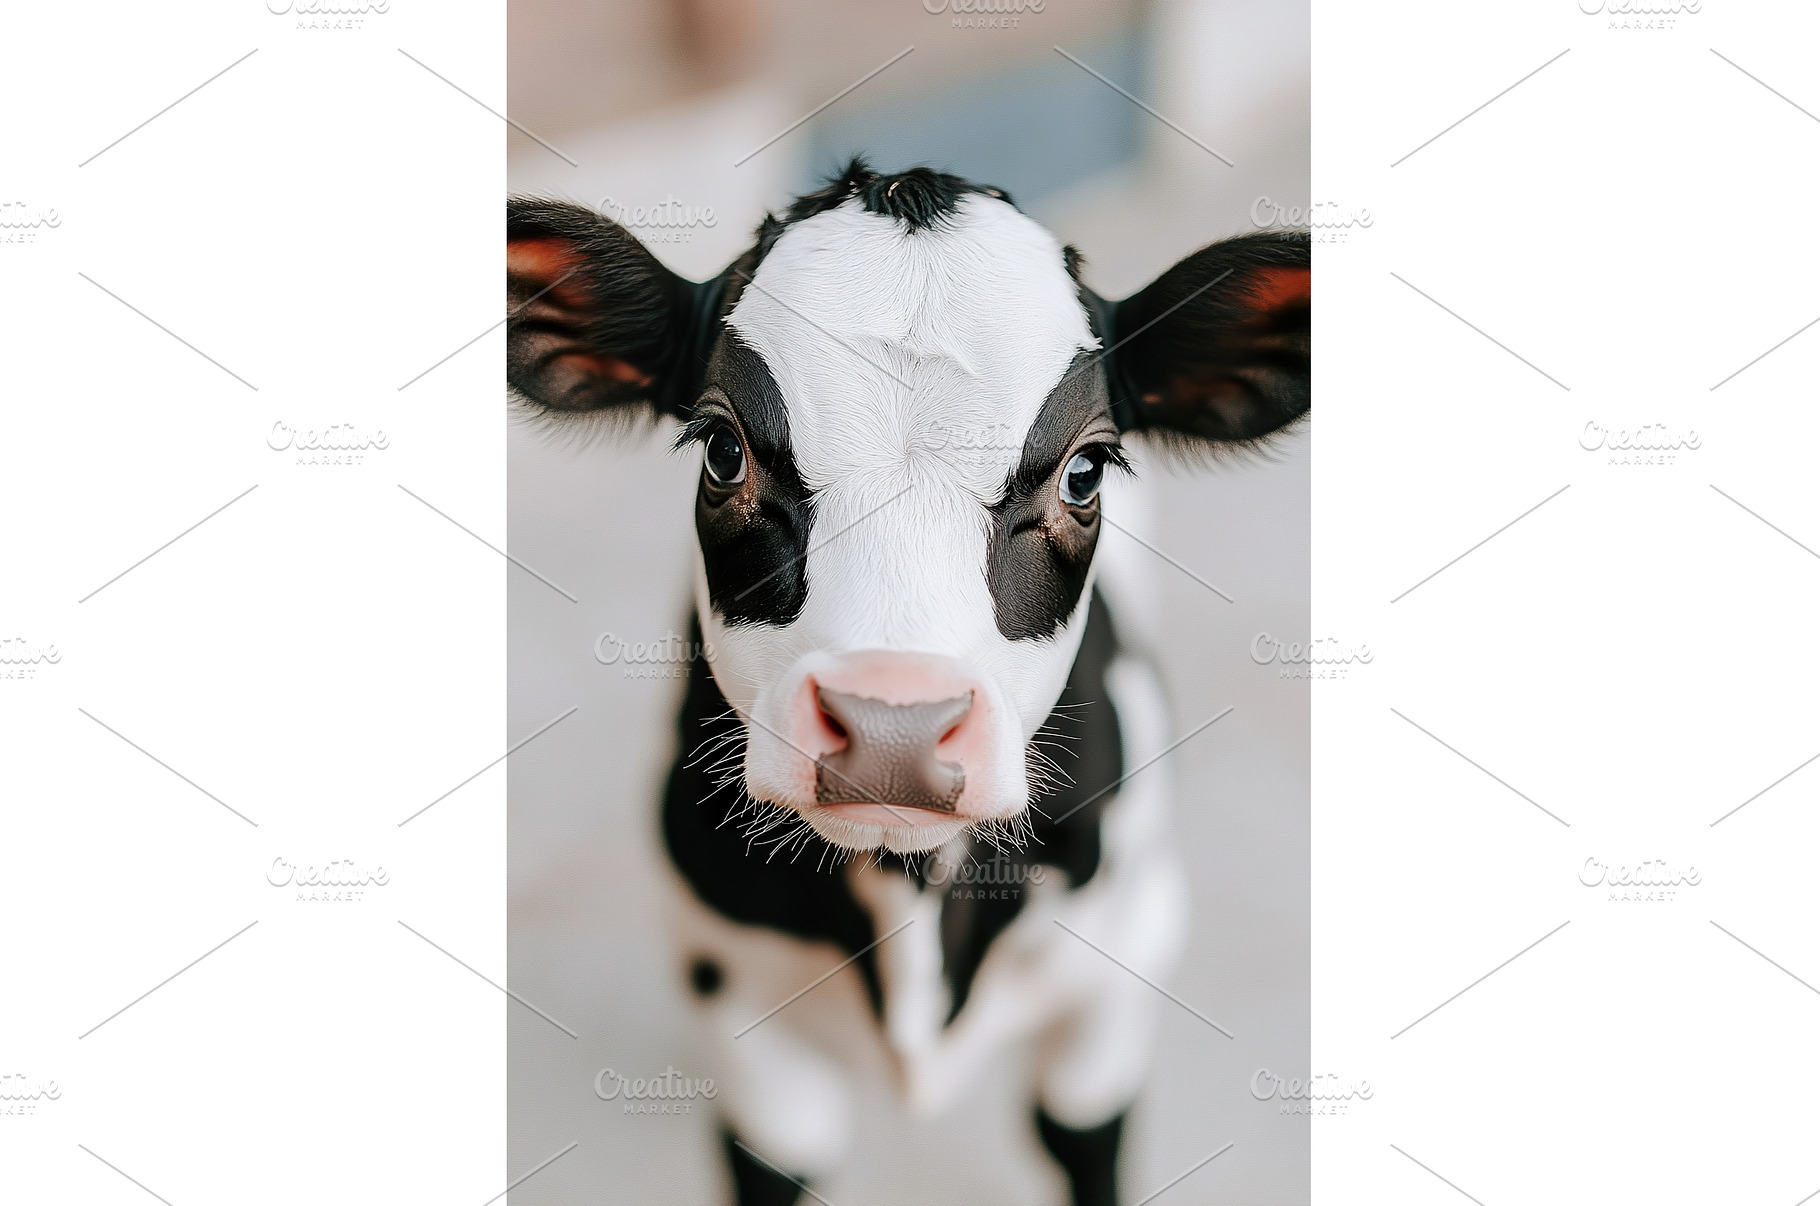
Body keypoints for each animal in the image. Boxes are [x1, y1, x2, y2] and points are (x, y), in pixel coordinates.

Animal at [506, 158, 1309, 1206]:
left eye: (1085, 472)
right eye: (723, 448)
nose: (894, 726)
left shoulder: (1125, 963)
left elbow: (1085, 1145)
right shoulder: (740, 1005)